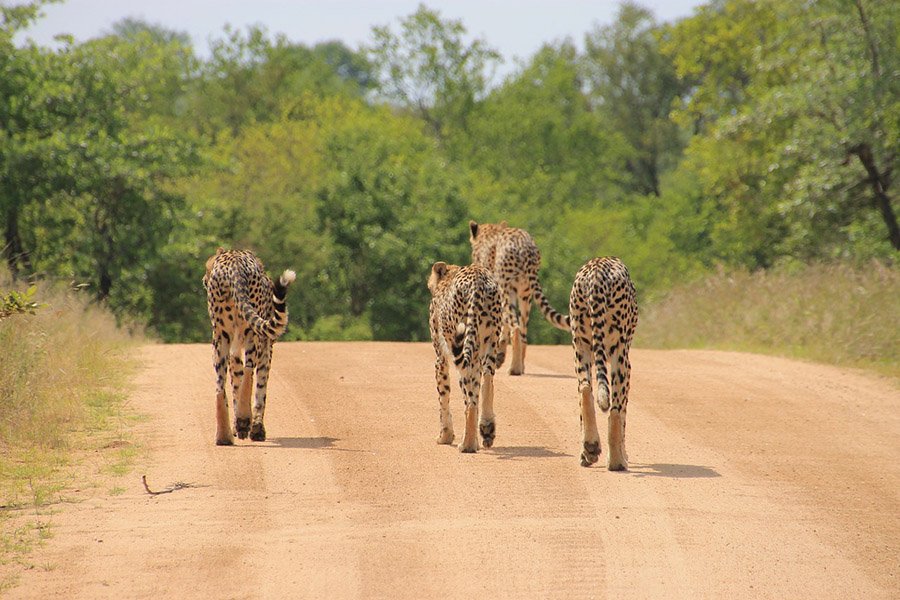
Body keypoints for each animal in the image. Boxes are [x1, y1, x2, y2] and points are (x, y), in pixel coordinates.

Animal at [201, 247, 296, 446]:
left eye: (207, 267)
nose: (204, 279)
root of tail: (234, 263)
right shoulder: (266, 347)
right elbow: (260, 388)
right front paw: (255, 427)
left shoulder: (235, 349)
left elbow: (236, 383)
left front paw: (240, 426)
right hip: (253, 335)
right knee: (248, 371)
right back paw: (244, 420)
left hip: (220, 338)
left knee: (220, 386)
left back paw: (223, 436)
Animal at [428, 260, 502, 452]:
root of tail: (478, 279)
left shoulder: (441, 357)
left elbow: (443, 397)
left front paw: (445, 436)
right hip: (489, 342)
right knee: (487, 381)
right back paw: (487, 429)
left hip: (463, 347)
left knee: (470, 398)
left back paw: (467, 444)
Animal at [468, 223, 568, 376]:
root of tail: (525, 247)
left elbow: (503, 324)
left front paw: (499, 355)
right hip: (525, 294)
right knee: (523, 332)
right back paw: (520, 365)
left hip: (506, 290)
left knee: (515, 327)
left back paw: (514, 368)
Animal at [568, 256, 636, 468]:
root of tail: (596, 270)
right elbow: (623, 414)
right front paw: (624, 453)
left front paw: (585, 454)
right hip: (619, 354)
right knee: (615, 408)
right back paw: (617, 461)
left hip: (580, 345)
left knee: (585, 389)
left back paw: (590, 446)